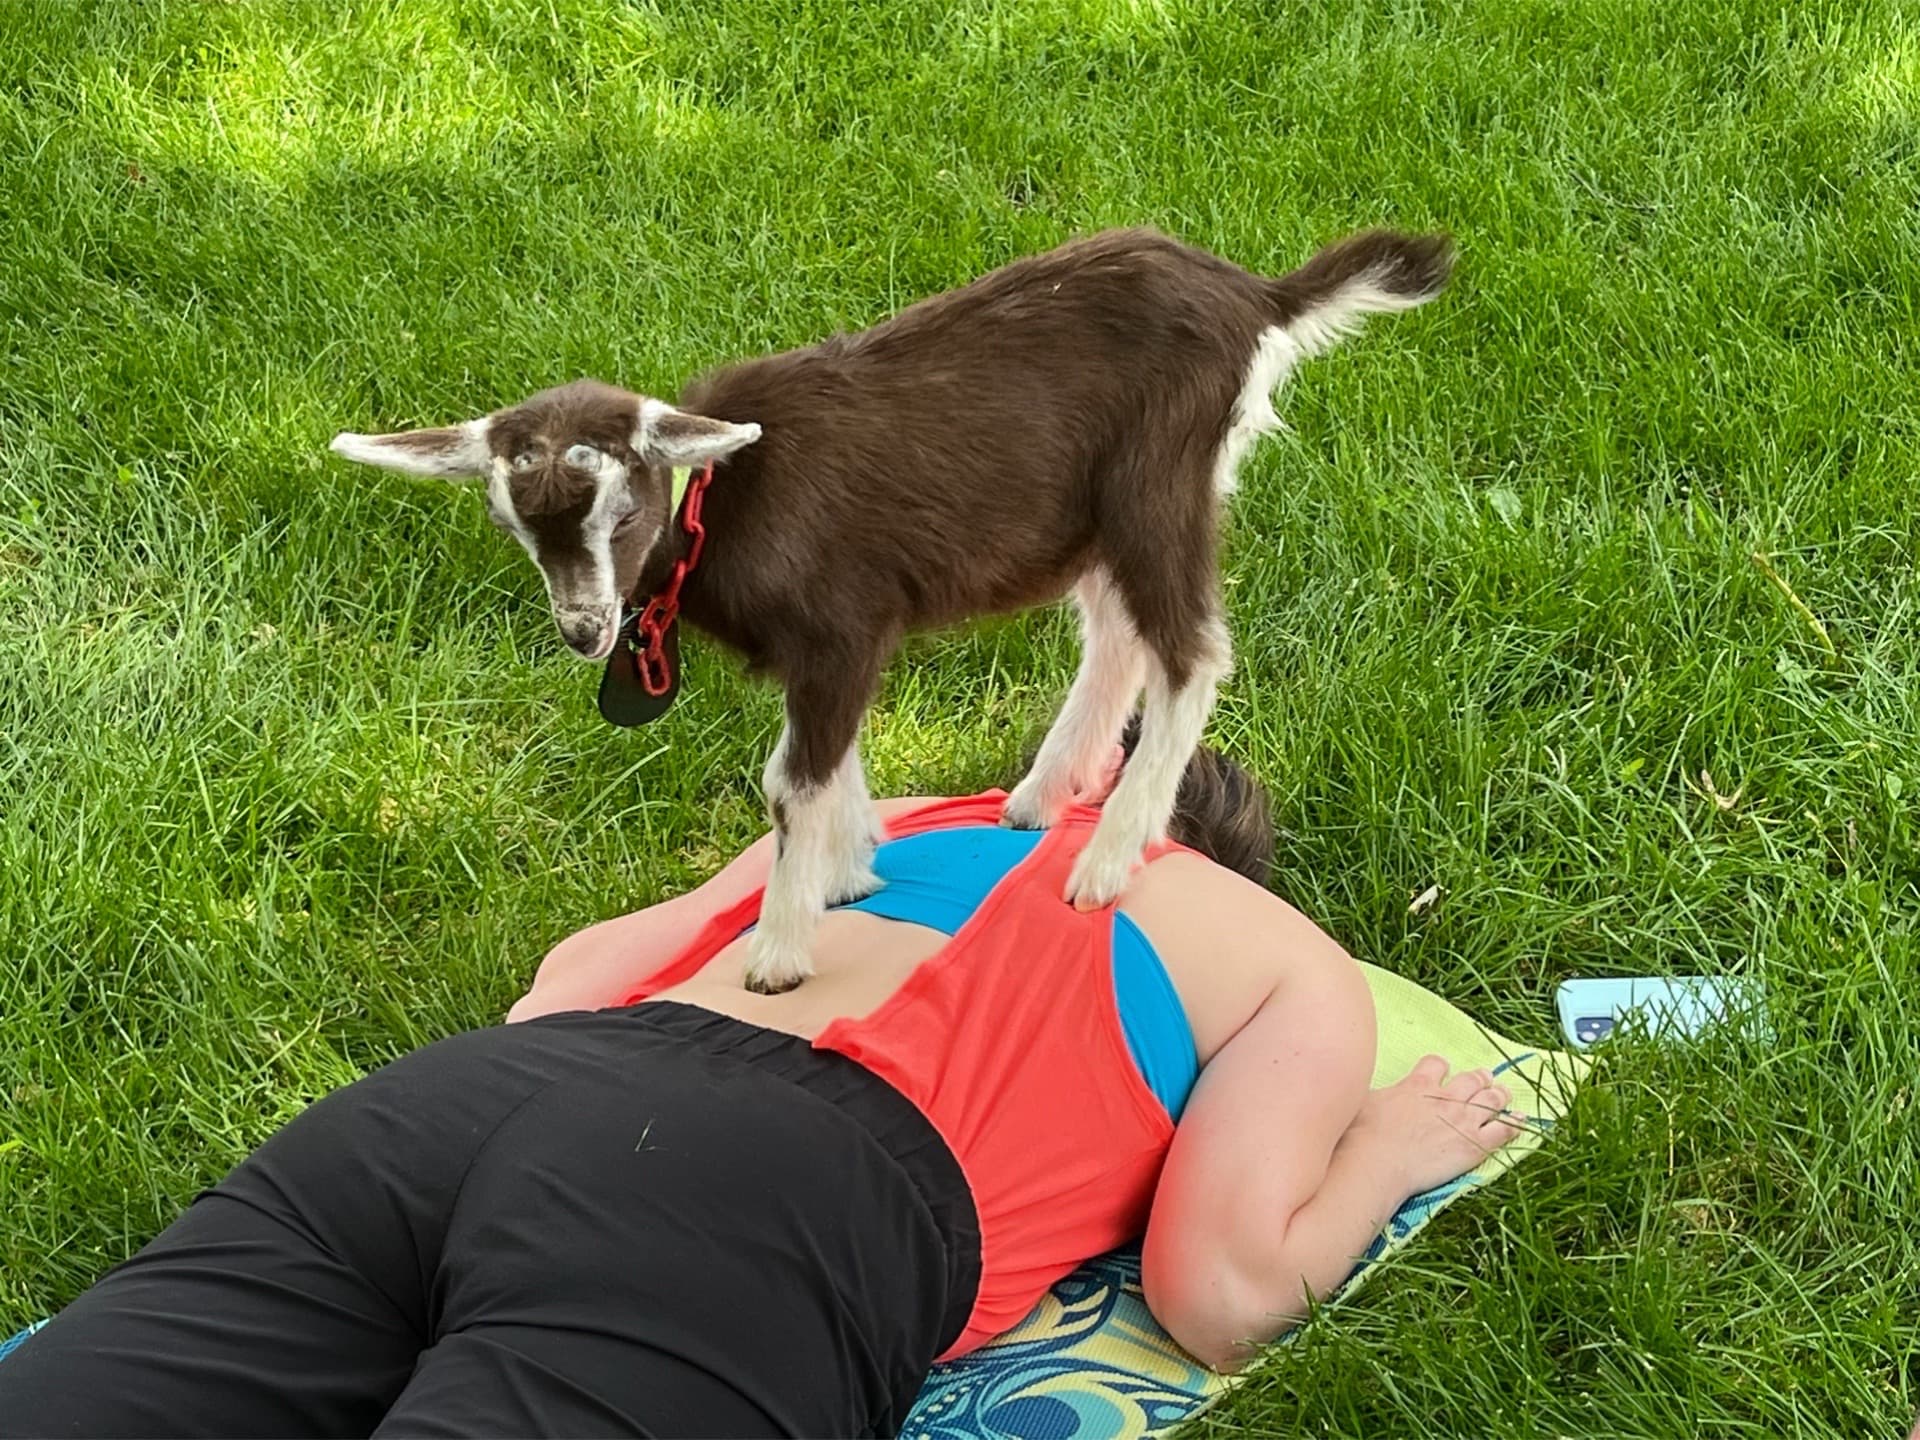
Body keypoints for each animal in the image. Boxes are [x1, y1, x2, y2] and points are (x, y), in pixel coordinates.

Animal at [329, 226, 1451, 993]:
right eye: (512, 524)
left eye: (625, 506)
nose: (584, 631)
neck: (720, 506)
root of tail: (1257, 296)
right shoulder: (832, 655)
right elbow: (831, 762)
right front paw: (854, 871)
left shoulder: (839, 627)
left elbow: (791, 779)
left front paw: (782, 948)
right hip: (1093, 515)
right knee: (1119, 639)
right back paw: (1040, 798)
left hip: (1156, 480)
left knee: (1192, 652)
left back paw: (1103, 862)